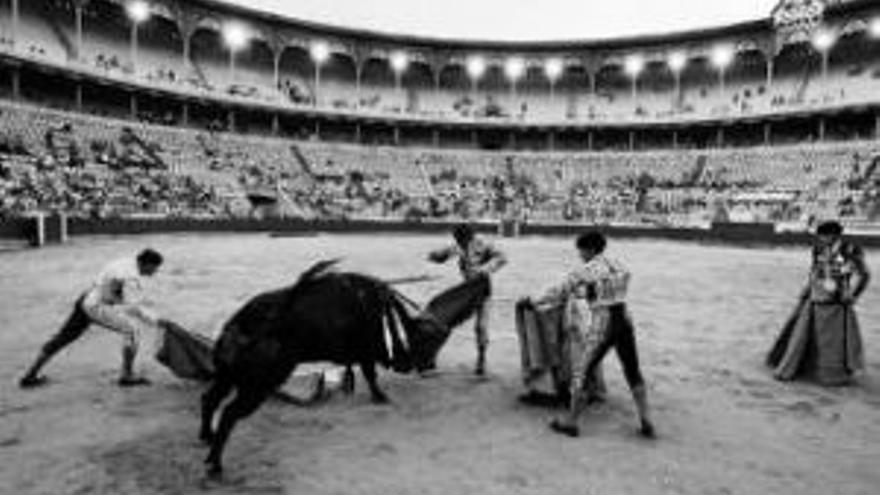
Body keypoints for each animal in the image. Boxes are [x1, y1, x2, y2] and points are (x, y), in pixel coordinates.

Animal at [193, 264, 492, 476]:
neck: (380, 314)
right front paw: (381, 397)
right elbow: (371, 375)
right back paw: (215, 465)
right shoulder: (366, 352)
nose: (426, 367)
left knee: (209, 398)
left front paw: (376, 395)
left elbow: (367, 374)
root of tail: (241, 324)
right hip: (258, 384)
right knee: (229, 413)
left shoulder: (362, 354)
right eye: (425, 342)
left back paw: (206, 438)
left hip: (227, 375)